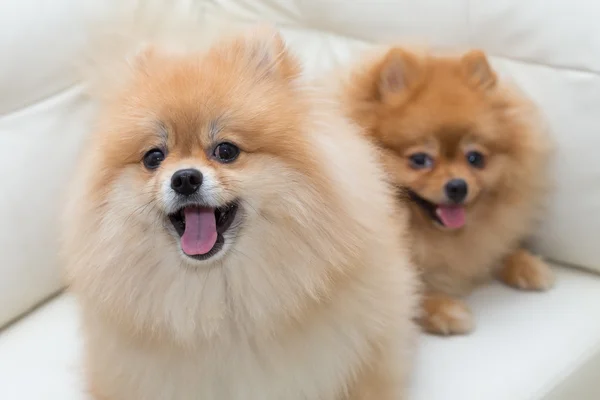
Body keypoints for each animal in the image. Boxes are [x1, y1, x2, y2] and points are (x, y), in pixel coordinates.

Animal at [340, 46, 556, 334]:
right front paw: (445, 309)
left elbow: (495, 248)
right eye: (420, 160)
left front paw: (527, 264)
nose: (458, 186)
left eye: (475, 158)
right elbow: (407, 292)